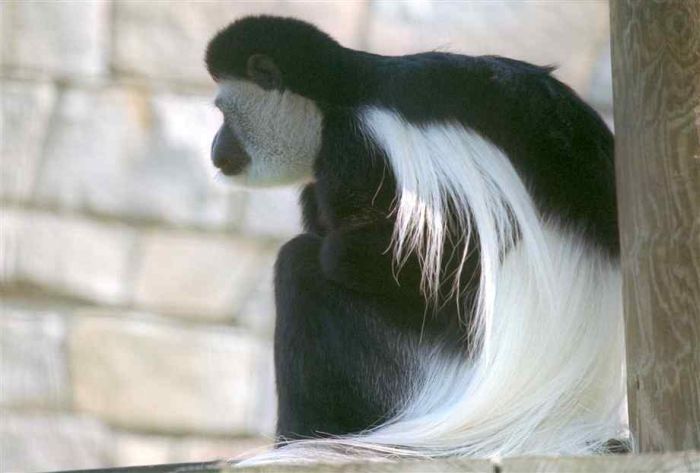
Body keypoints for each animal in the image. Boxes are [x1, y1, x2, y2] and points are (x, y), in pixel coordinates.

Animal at [205, 16, 628, 462]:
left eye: (223, 113)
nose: (215, 146)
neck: (343, 93)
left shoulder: (360, 144)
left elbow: (442, 264)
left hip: (424, 371)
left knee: (299, 268)